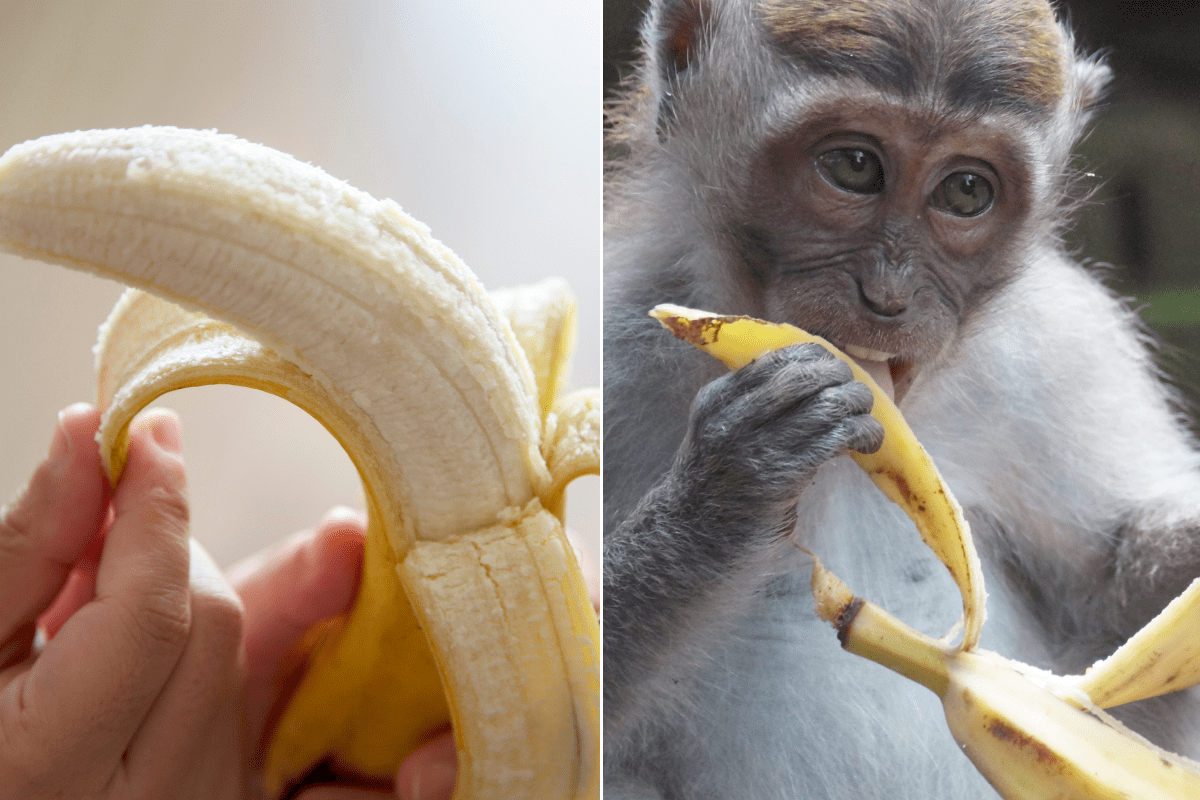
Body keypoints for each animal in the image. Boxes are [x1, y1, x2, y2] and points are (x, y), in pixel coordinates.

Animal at [602, 1, 1200, 797]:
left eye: (965, 192)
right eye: (854, 168)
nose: (887, 296)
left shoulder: (1067, 349)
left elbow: (1115, 614)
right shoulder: (617, 346)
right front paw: (731, 481)